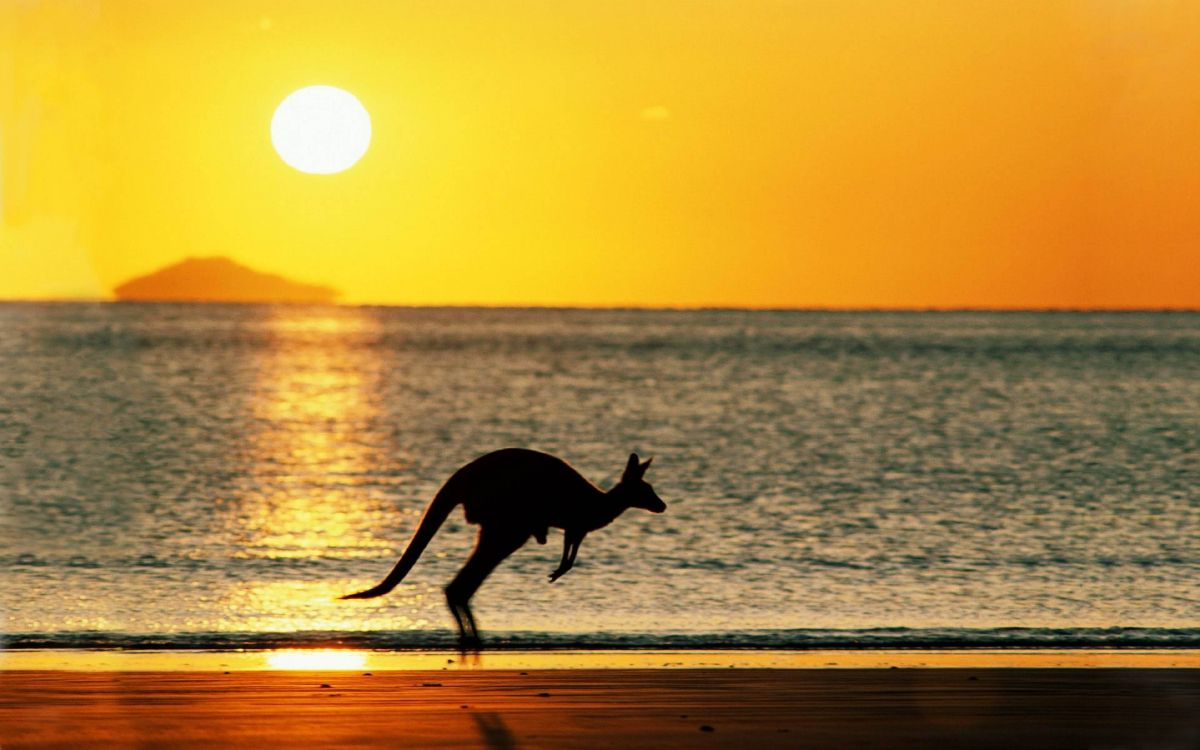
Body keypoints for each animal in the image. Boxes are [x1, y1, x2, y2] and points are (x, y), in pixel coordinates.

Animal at [340, 449, 666, 647]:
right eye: (647, 491)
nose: (663, 506)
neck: (600, 502)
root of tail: (462, 477)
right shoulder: (576, 523)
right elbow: (570, 547)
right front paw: (558, 570)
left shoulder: (578, 528)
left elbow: (571, 547)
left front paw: (559, 568)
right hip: (508, 519)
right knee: (463, 583)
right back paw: (472, 640)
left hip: (501, 524)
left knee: (461, 585)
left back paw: (471, 639)